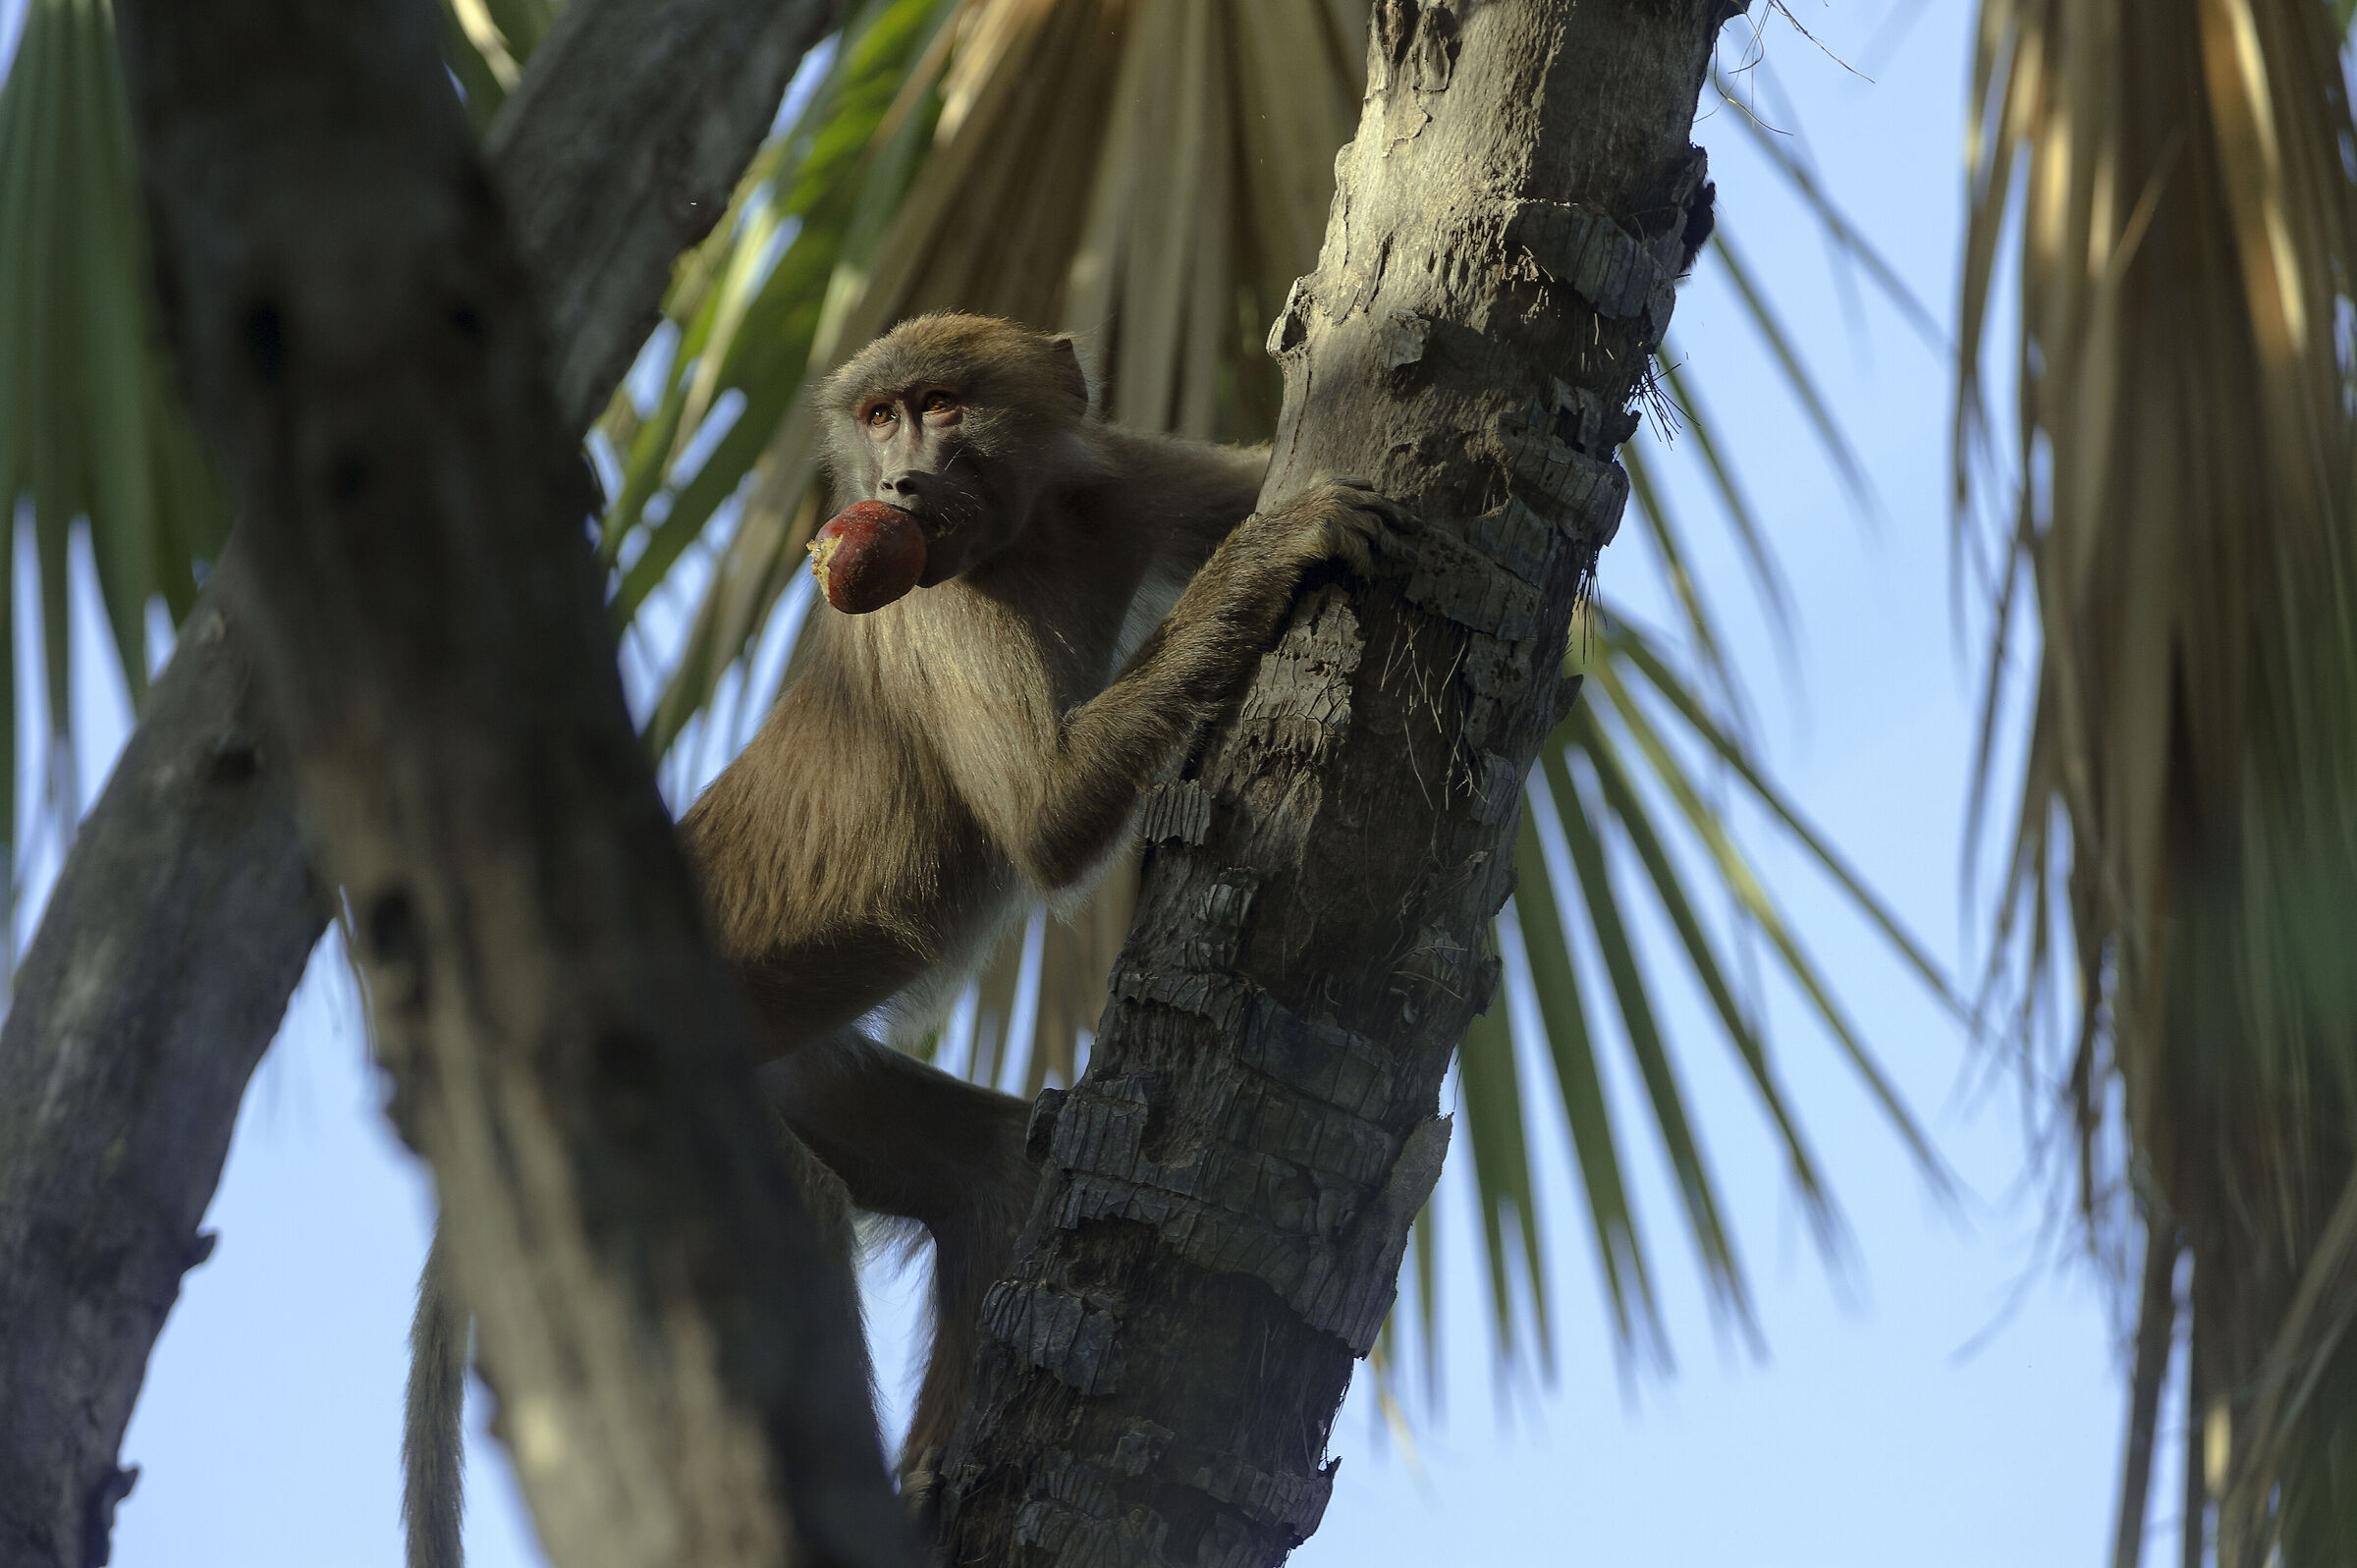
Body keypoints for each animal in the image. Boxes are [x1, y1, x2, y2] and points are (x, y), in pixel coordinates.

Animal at [403, 312, 1411, 1564]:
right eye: (880, 416)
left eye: (940, 403)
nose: (897, 484)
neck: (1019, 542)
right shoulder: (940, 612)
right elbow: (1047, 816)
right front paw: (1282, 544)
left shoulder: (1112, 480)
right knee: (798, 1207)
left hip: (801, 1070)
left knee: (990, 1174)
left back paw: (930, 1477)